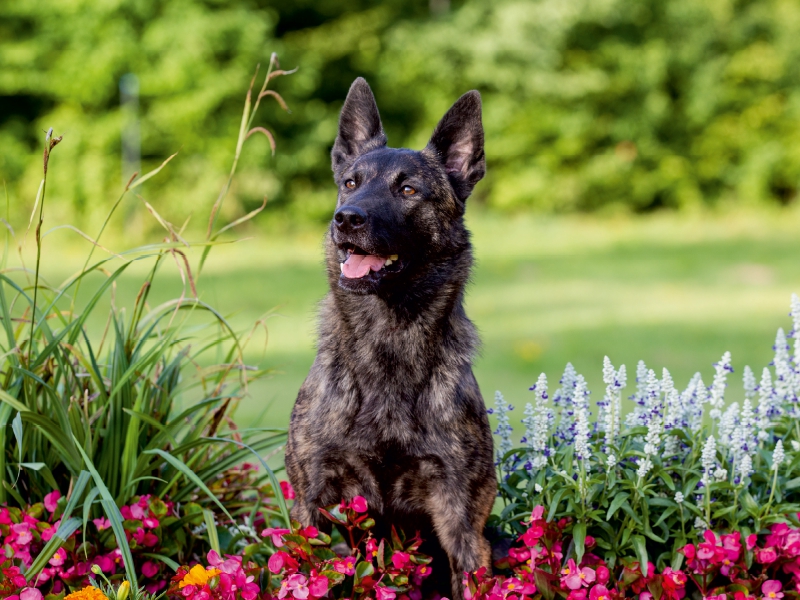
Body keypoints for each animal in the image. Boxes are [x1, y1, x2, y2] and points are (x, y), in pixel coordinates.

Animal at [284, 79, 496, 600]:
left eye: (408, 189)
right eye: (350, 183)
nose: (346, 219)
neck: (387, 340)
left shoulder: (461, 520)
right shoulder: (311, 505)